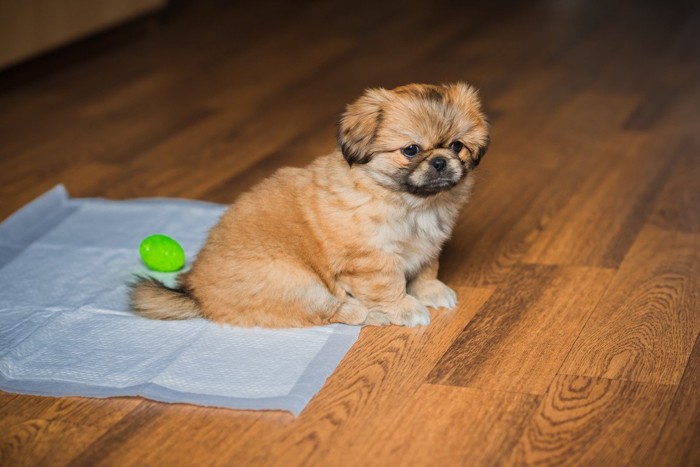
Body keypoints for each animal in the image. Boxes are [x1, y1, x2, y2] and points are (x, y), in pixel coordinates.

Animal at [134, 82, 490, 328]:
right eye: (411, 150)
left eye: (457, 146)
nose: (441, 161)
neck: (408, 202)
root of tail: (196, 291)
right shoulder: (371, 263)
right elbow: (389, 287)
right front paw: (404, 308)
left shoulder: (427, 248)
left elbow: (426, 272)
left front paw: (432, 292)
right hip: (298, 282)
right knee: (334, 311)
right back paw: (370, 314)